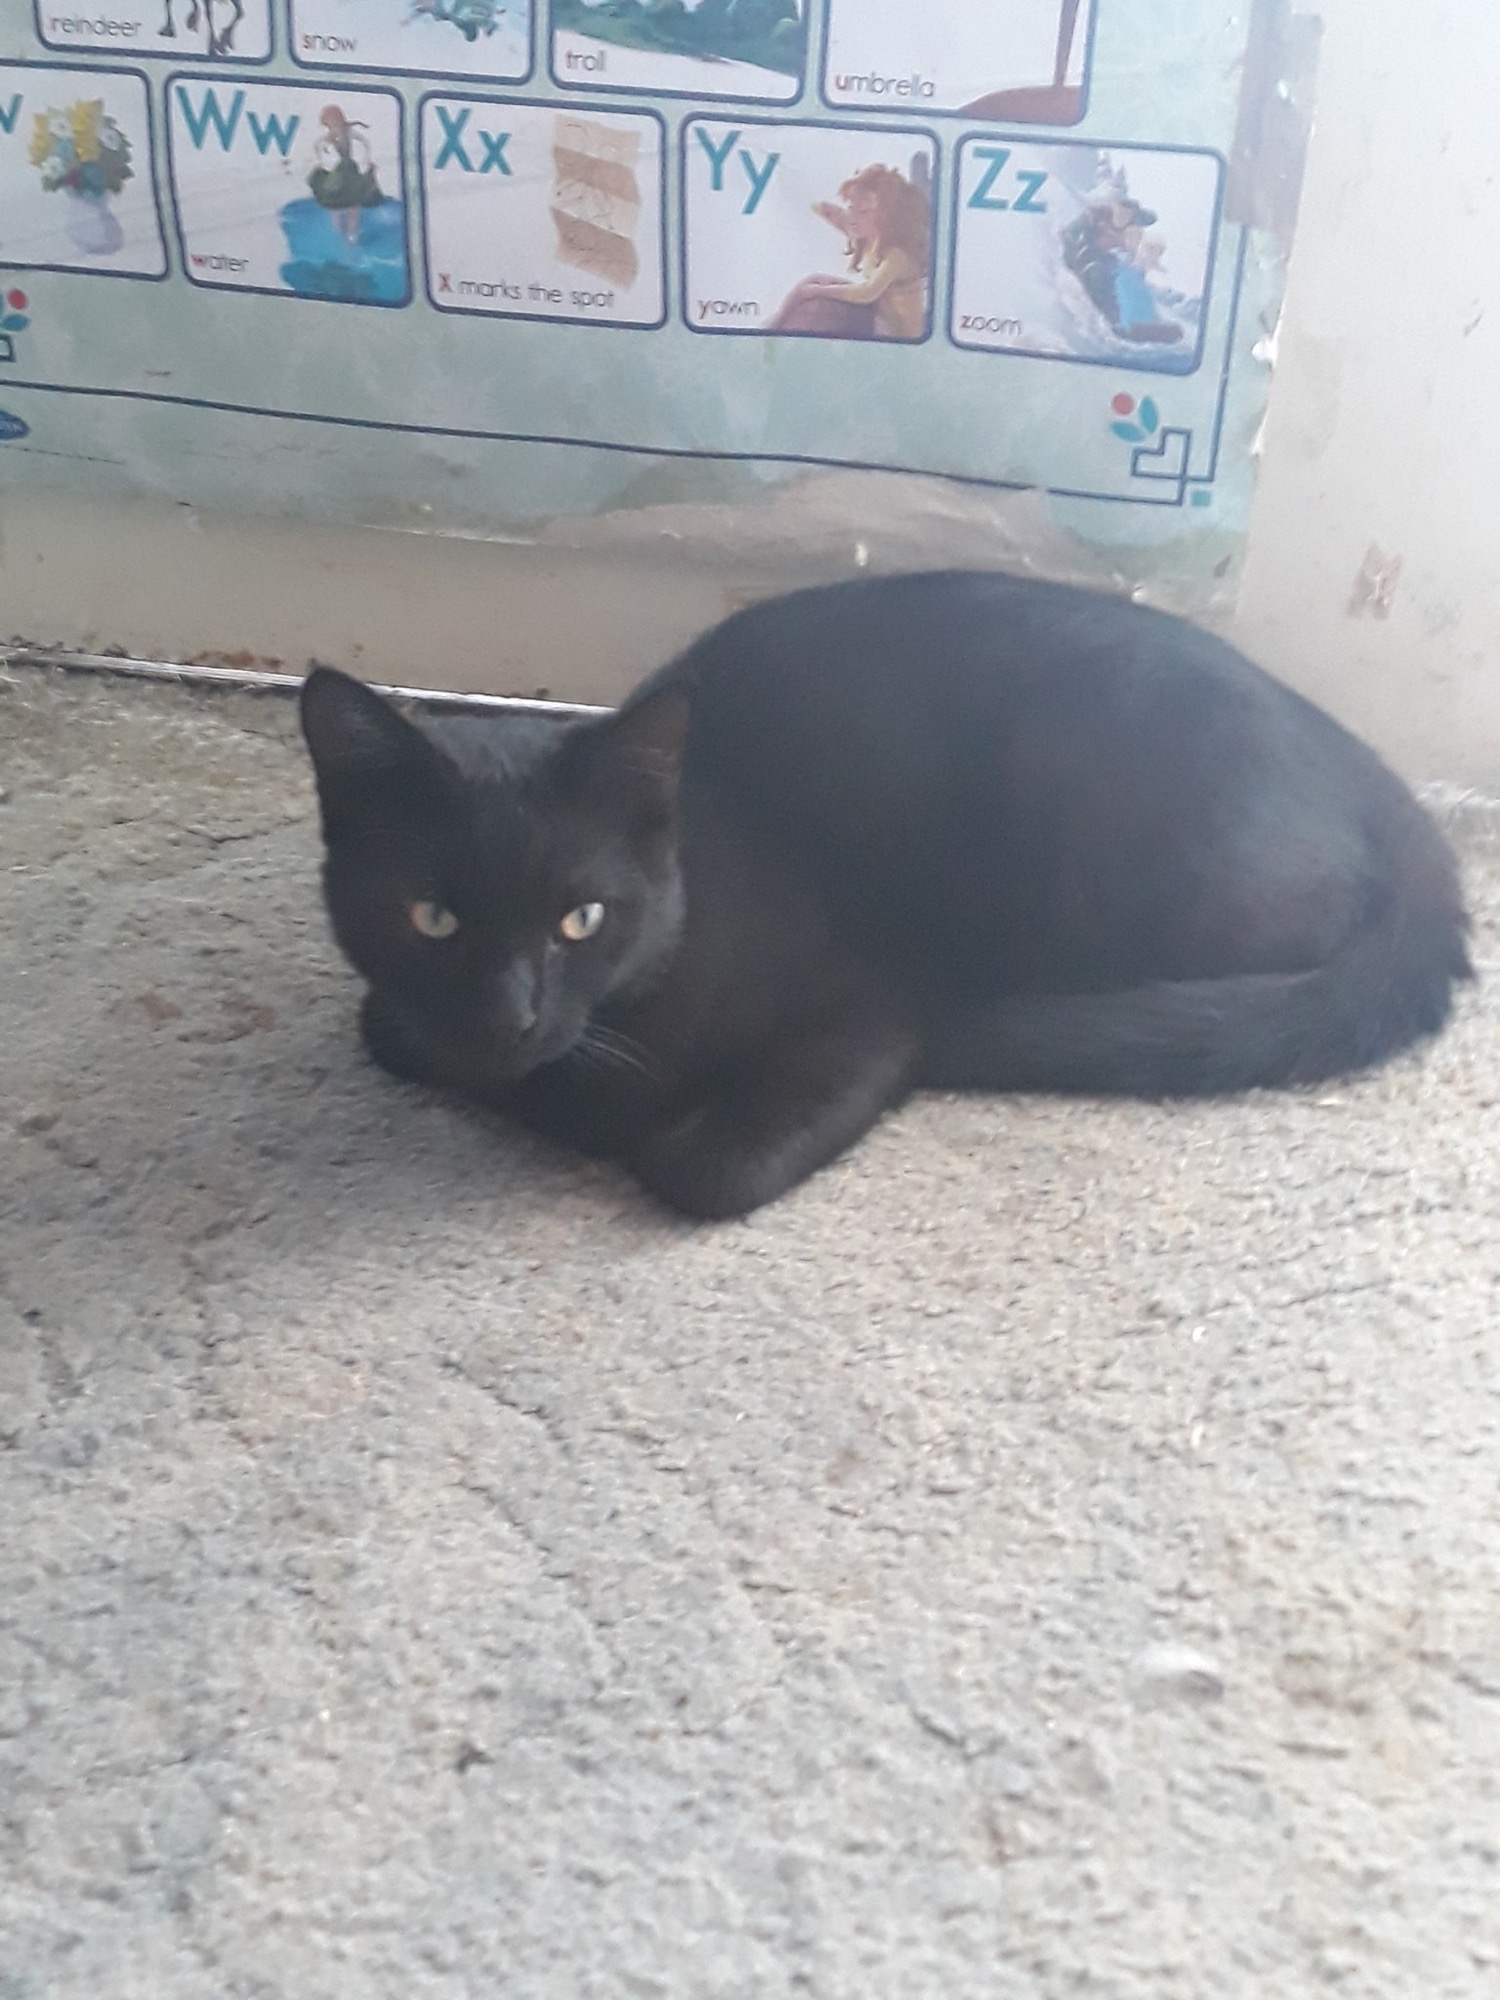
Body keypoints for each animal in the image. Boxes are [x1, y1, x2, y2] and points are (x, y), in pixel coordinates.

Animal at [300, 568, 1472, 1220]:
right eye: (431, 917)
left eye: (579, 918)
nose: (510, 1014)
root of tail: (1375, 775)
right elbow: (393, 1028)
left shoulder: (874, 1009)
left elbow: (699, 1165)